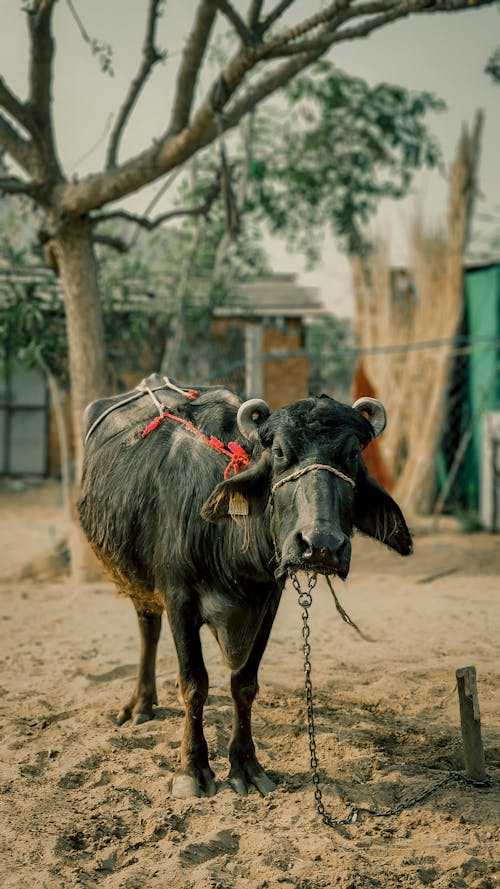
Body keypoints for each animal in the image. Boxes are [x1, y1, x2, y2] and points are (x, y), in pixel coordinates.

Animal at [78, 372, 412, 796]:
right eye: (281, 453)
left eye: (352, 454)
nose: (320, 545)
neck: (228, 538)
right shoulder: (178, 597)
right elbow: (194, 683)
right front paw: (192, 769)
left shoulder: (268, 601)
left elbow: (244, 684)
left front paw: (246, 765)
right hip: (137, 579)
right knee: (147, 628)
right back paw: (140, 705)